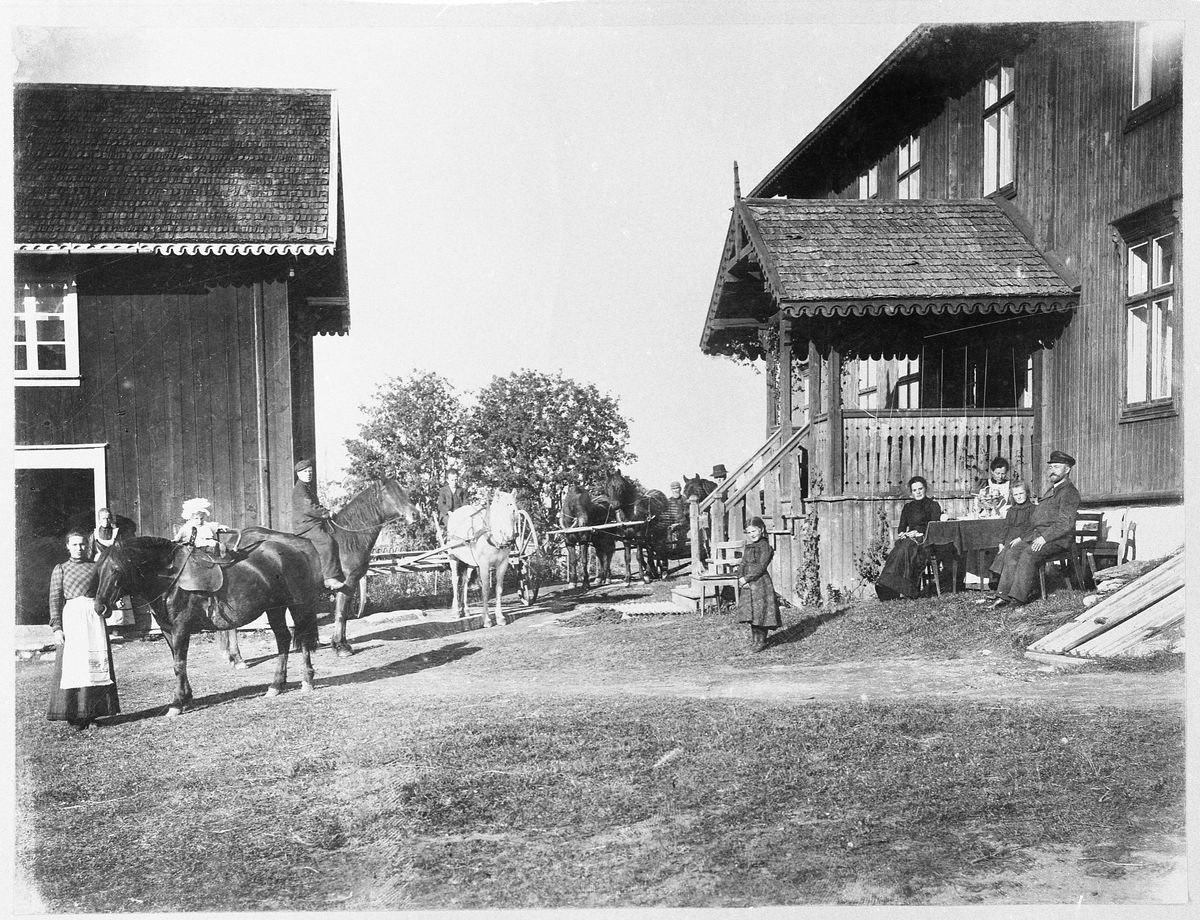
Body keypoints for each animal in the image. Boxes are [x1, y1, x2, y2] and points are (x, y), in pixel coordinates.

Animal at [94, 527, 321, 714]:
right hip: (275, 610)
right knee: (283, 640)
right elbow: (178, 662)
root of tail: (296, 551)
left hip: (297, 607)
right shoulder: (167, 629)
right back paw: (276, 685)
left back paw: (307, 680)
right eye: (98, 569)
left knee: (302, 641)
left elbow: (179, 664)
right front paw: (187, 697)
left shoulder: (180, 627)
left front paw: (177, 703)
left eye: (117, 570)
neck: (169, 579)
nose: (100, 607)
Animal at [220, 479, 417, 666]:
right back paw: (238, 659)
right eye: (389, 492)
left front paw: (339, 644)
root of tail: (236, 540)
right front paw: (341, 647)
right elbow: (341, 614)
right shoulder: (348, 583)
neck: (348, 538)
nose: (415, 514)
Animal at [441, 489, 516, 623]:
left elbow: (499, 589)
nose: (510, 538)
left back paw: (465, 609)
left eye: (513, 510)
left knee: (465, 581)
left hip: (470, 562)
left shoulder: (503, 564)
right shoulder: (484, 565)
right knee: (455, 581)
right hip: (452, 557)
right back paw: (456, 611)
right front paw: (486, 619)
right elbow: (485, 589)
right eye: (499, 512)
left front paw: (500, 616)